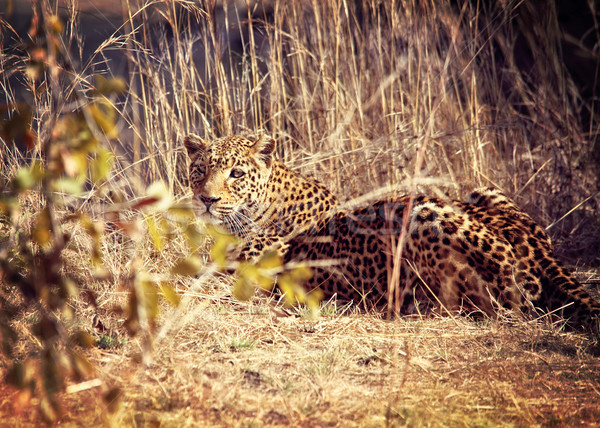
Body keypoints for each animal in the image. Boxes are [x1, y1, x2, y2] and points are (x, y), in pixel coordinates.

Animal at [185, 134, 600, 332]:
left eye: (237, 173)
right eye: (200, 169)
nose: (206, 199)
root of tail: (538, 247)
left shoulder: (242, 270)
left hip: (425, 212)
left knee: (507, 297)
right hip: (482, 190)